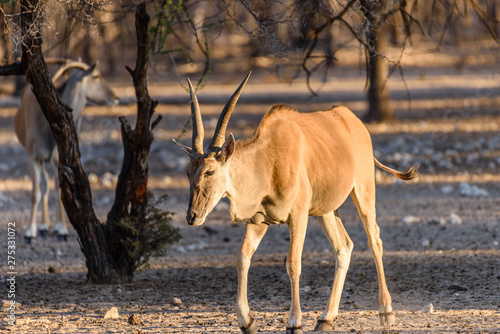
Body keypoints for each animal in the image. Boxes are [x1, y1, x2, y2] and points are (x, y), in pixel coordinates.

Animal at [14, 60, 117, 243]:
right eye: (96, 76)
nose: (115, 97)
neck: (47, 123)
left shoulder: (57, 160)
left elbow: (59, 192)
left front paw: (61, 229)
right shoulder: (33, 157)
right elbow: (35, 193)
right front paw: (29, 231)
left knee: (47, 186)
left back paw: (46, 226)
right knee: (43, 186)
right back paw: (42, 226)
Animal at [176, 73, 418, 334]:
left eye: (209, 171)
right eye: (188, 172)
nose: (192, 216)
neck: (268, 159)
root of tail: (353, 122)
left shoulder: (298, 216)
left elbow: (293, 263)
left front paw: (294, 322)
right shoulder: (258, 221)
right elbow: (242, 258)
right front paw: (246, 321)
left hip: (363, 193)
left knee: (374, 240)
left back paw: (386, 312)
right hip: (326, 212)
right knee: (344, 247)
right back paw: (326, 318)